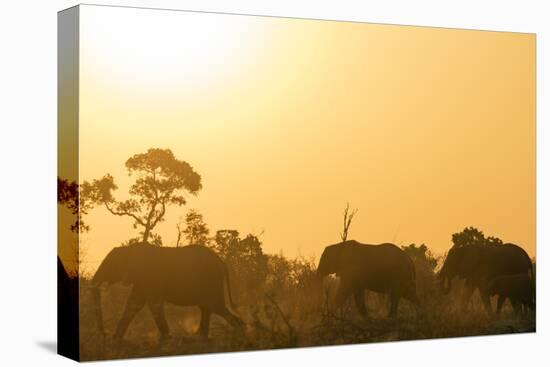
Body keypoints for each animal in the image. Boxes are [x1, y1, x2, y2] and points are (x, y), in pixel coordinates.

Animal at [92, 244, 244, 344]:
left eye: (110, 265)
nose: (104, 334)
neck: (130, 249)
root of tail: (222, 263)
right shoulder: (141, 280)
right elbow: (134, 303)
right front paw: (115, 340)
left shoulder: (150, 277)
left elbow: (153, 304)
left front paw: (166, 339)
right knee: (206, 307)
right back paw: (200, 337)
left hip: (211, 280)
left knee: (214, 305)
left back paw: (240, 332)